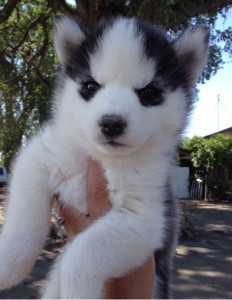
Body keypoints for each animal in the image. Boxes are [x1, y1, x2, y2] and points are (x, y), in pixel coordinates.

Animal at [0, 17, 208, 298]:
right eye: (90, 86)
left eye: (149, 92)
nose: (111, 123)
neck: (104, 159)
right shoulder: (40, 160)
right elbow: (23, 223)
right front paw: (7, 266)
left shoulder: (144, 217)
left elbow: (81, 255)